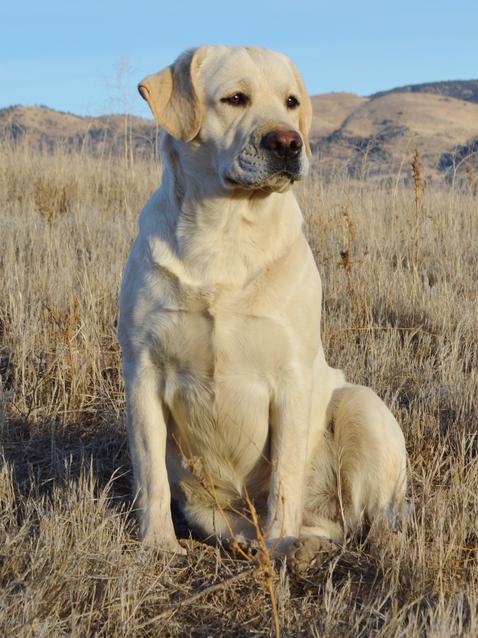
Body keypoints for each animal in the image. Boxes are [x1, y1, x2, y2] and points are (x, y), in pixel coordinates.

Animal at [117, 45, 406, 556]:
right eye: (235, 98)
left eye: (292, 102)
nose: (289, 142)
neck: (225, 234)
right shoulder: (142, 372)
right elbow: (150, 474)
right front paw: (157, 545)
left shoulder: (290, 379)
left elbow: (284, 481)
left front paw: (281, 540)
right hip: (212, 509)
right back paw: (300, 548)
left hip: (362, 404)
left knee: (371, 519)